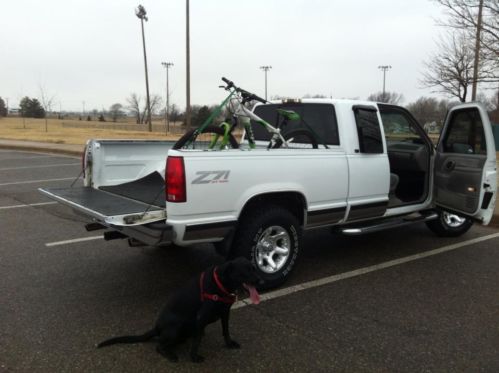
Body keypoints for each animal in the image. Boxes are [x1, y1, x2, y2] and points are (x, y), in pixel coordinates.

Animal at [97, 258, 262, 362]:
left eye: (254, 269)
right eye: (244, 272)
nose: (260, 281)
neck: (221, 284)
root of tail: (157, 328)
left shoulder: (225, 313)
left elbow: (226, 331)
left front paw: (229, 343)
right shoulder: (201, 317)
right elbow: (197, 342)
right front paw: (194, 357)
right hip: (176, 327)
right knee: (159, 346)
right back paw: (170, 355)